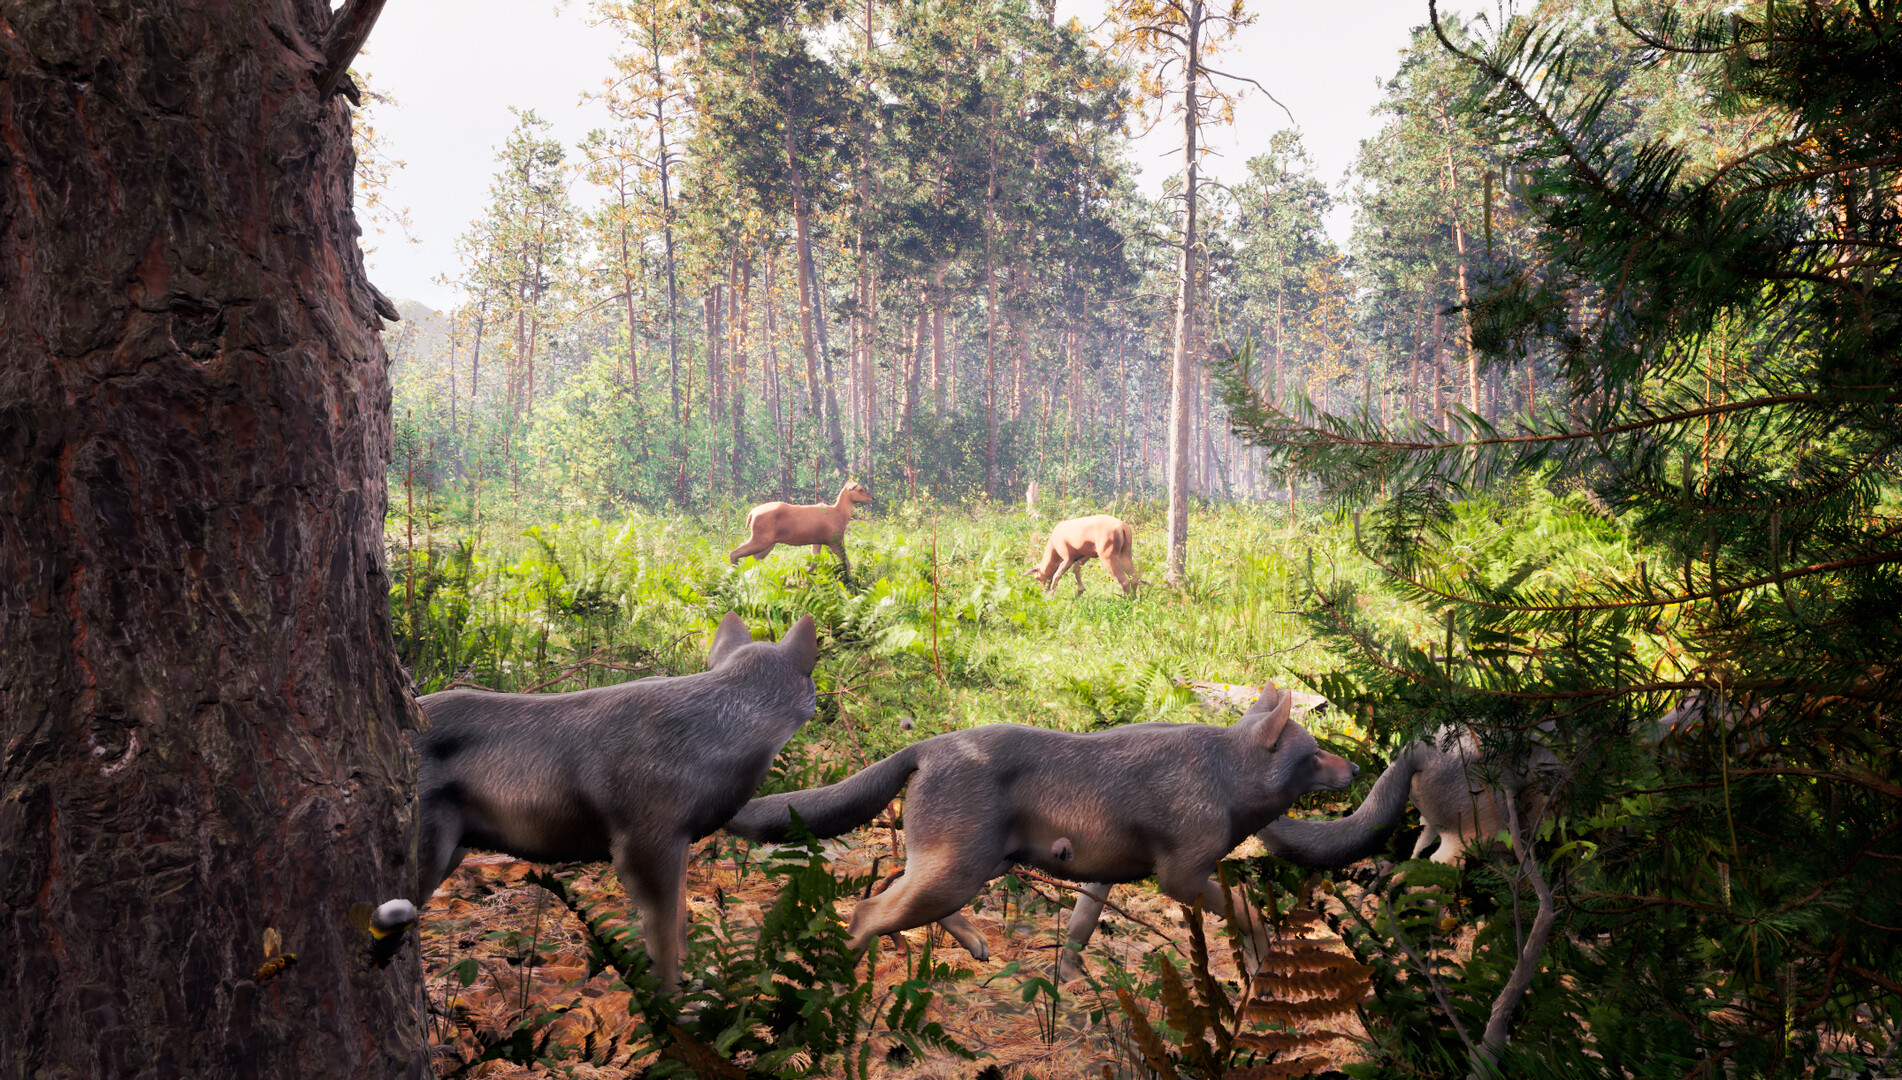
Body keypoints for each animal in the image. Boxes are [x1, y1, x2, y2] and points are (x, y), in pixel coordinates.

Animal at [385, 612, 818, 991]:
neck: (727, 741)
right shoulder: (644, 840)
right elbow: (661, 939)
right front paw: (673, 1005)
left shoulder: (679, 839)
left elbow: (680, 922)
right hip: (428, 849)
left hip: (455, 849)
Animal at [724, 685, 1358, 978]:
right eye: (1315, 753)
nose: (1354, 768)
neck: (1227, 774)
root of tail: (924, 746)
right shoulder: (1180, 878)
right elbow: (1248, 908)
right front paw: (1260, 960)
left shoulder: (1105, 874)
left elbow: (1079, 928)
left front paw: (1071, 976)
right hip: (958, 871)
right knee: (866, 912)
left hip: (972, 866)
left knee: (904, 901)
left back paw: (974, 944)